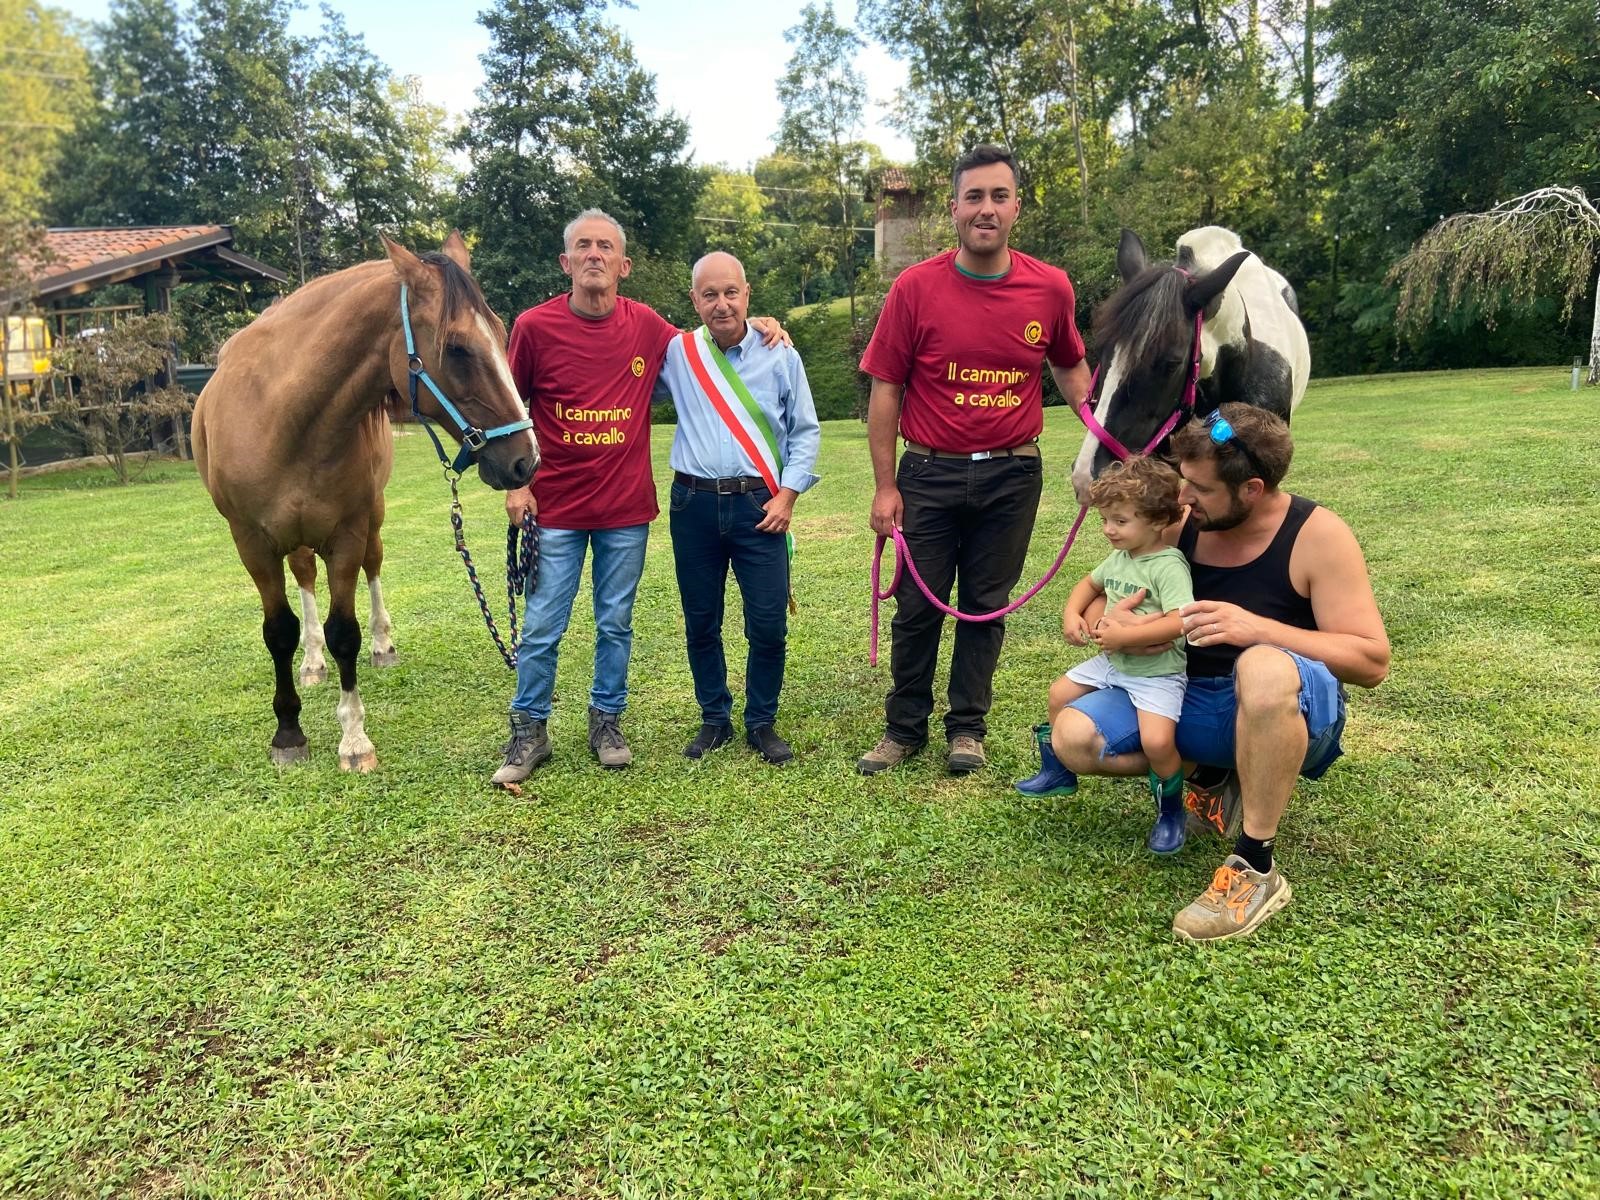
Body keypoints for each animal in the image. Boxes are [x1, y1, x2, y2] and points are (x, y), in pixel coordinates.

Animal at [194, 236, 540, 771]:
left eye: (503, 335)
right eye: (457, 348)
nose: (526, 461)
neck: (285, 419)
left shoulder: (349, 534)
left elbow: (345, 632)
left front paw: (354, 737)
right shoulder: (250, 542)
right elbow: (279, 631)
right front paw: (288, 731)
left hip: (371, 519)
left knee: (373, 569)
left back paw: (381, 645)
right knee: (304, 580)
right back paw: (311, 662)